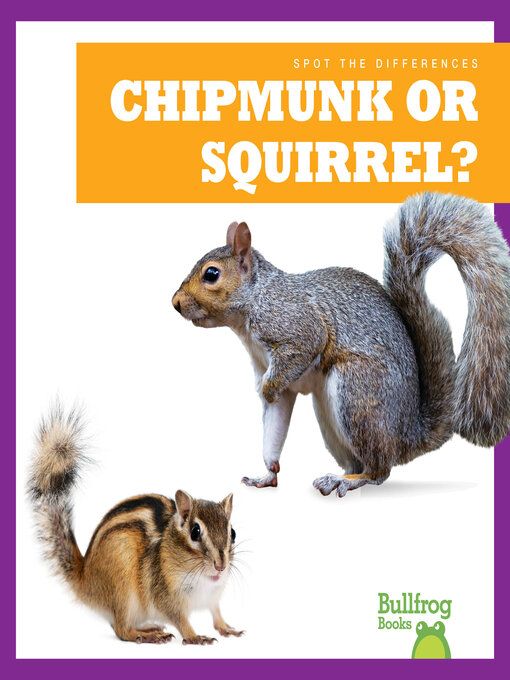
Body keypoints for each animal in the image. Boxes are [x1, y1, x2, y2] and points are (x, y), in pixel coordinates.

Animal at [28, 405, 243, 645]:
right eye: (195, 532)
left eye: (232, 533)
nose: (220, 566)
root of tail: (85, 580)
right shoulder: (164, 594)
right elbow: (179, 619)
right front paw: (195, 637)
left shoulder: (213, 595)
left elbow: (216, 613)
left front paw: (228, 628)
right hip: (122, 586)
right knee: (121, 629)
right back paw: (147, 635)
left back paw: (149, 627)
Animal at [172, 192, 510, 497]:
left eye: (211, 274)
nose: (175, 303)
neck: (254, 301)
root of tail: (409, 436)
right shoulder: (274, 375)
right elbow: (275, 425)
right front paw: (267, 474)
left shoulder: (295, 325)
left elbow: (304, 348)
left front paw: (266, 391)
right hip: (331, 417)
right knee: (361, 462)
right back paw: (341, 475)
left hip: (357, 392)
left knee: (379, 470)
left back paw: (348, 480)